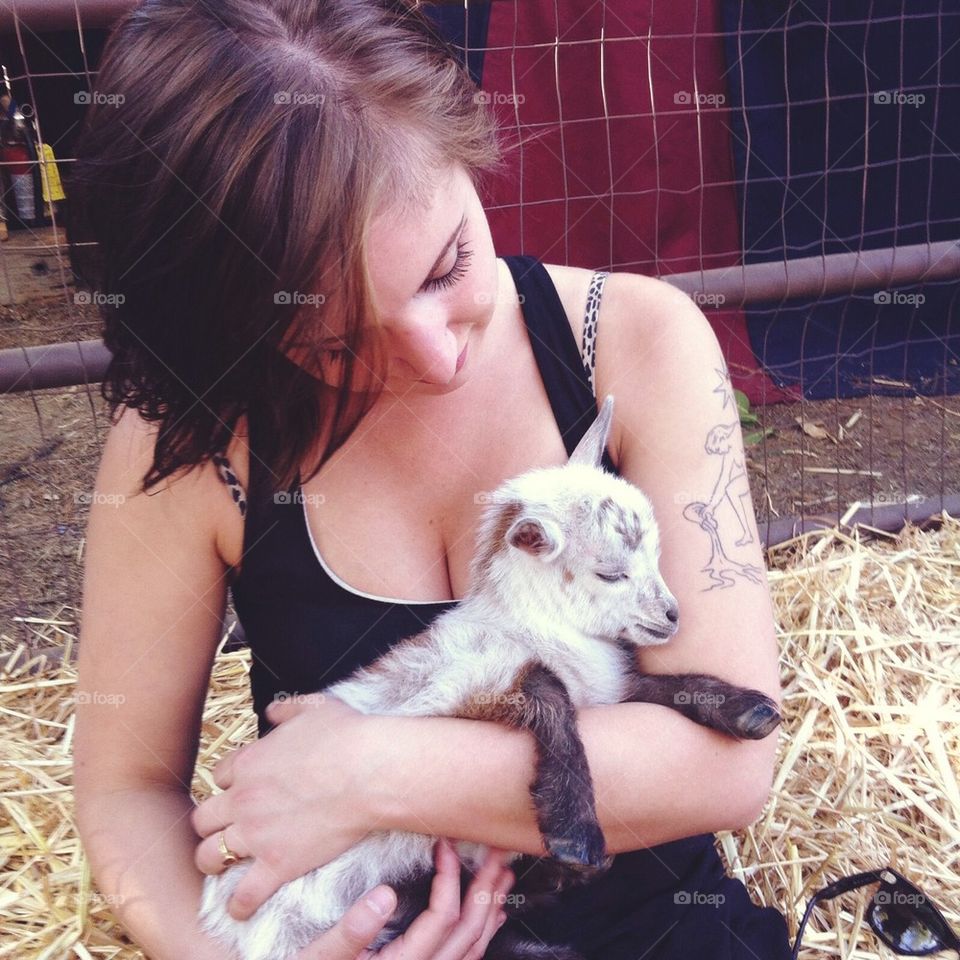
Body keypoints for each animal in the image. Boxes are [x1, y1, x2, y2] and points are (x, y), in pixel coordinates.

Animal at [202, 396, 780, 960]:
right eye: (611, 573)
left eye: (657, 556)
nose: (672, 616)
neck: (534, 627)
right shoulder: (465, 685)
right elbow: (550, 698)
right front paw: (575, 832)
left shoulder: (603, 689)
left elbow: (657, 688)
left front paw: (745, 709)